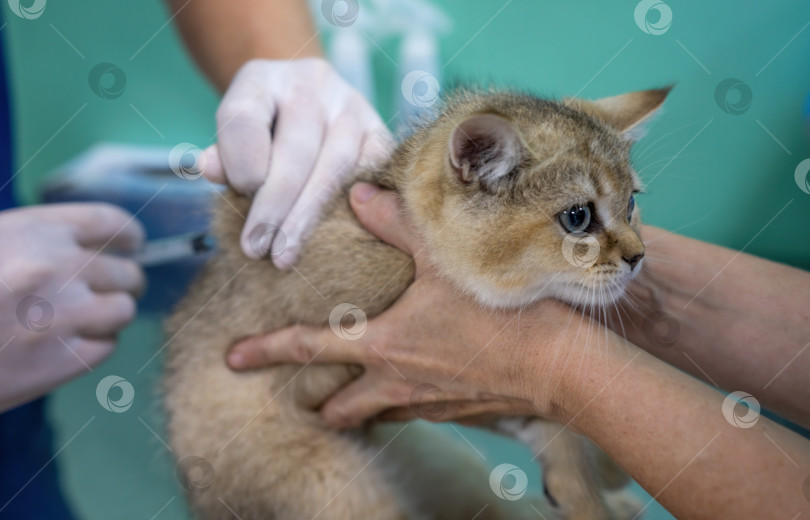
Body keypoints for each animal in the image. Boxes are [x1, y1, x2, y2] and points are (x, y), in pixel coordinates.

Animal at [164, 86, 668, 520]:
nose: (638, 256)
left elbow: (556, 422)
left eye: (631, 205)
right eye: (578, 218)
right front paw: (591, 493)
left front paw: (596, 480)